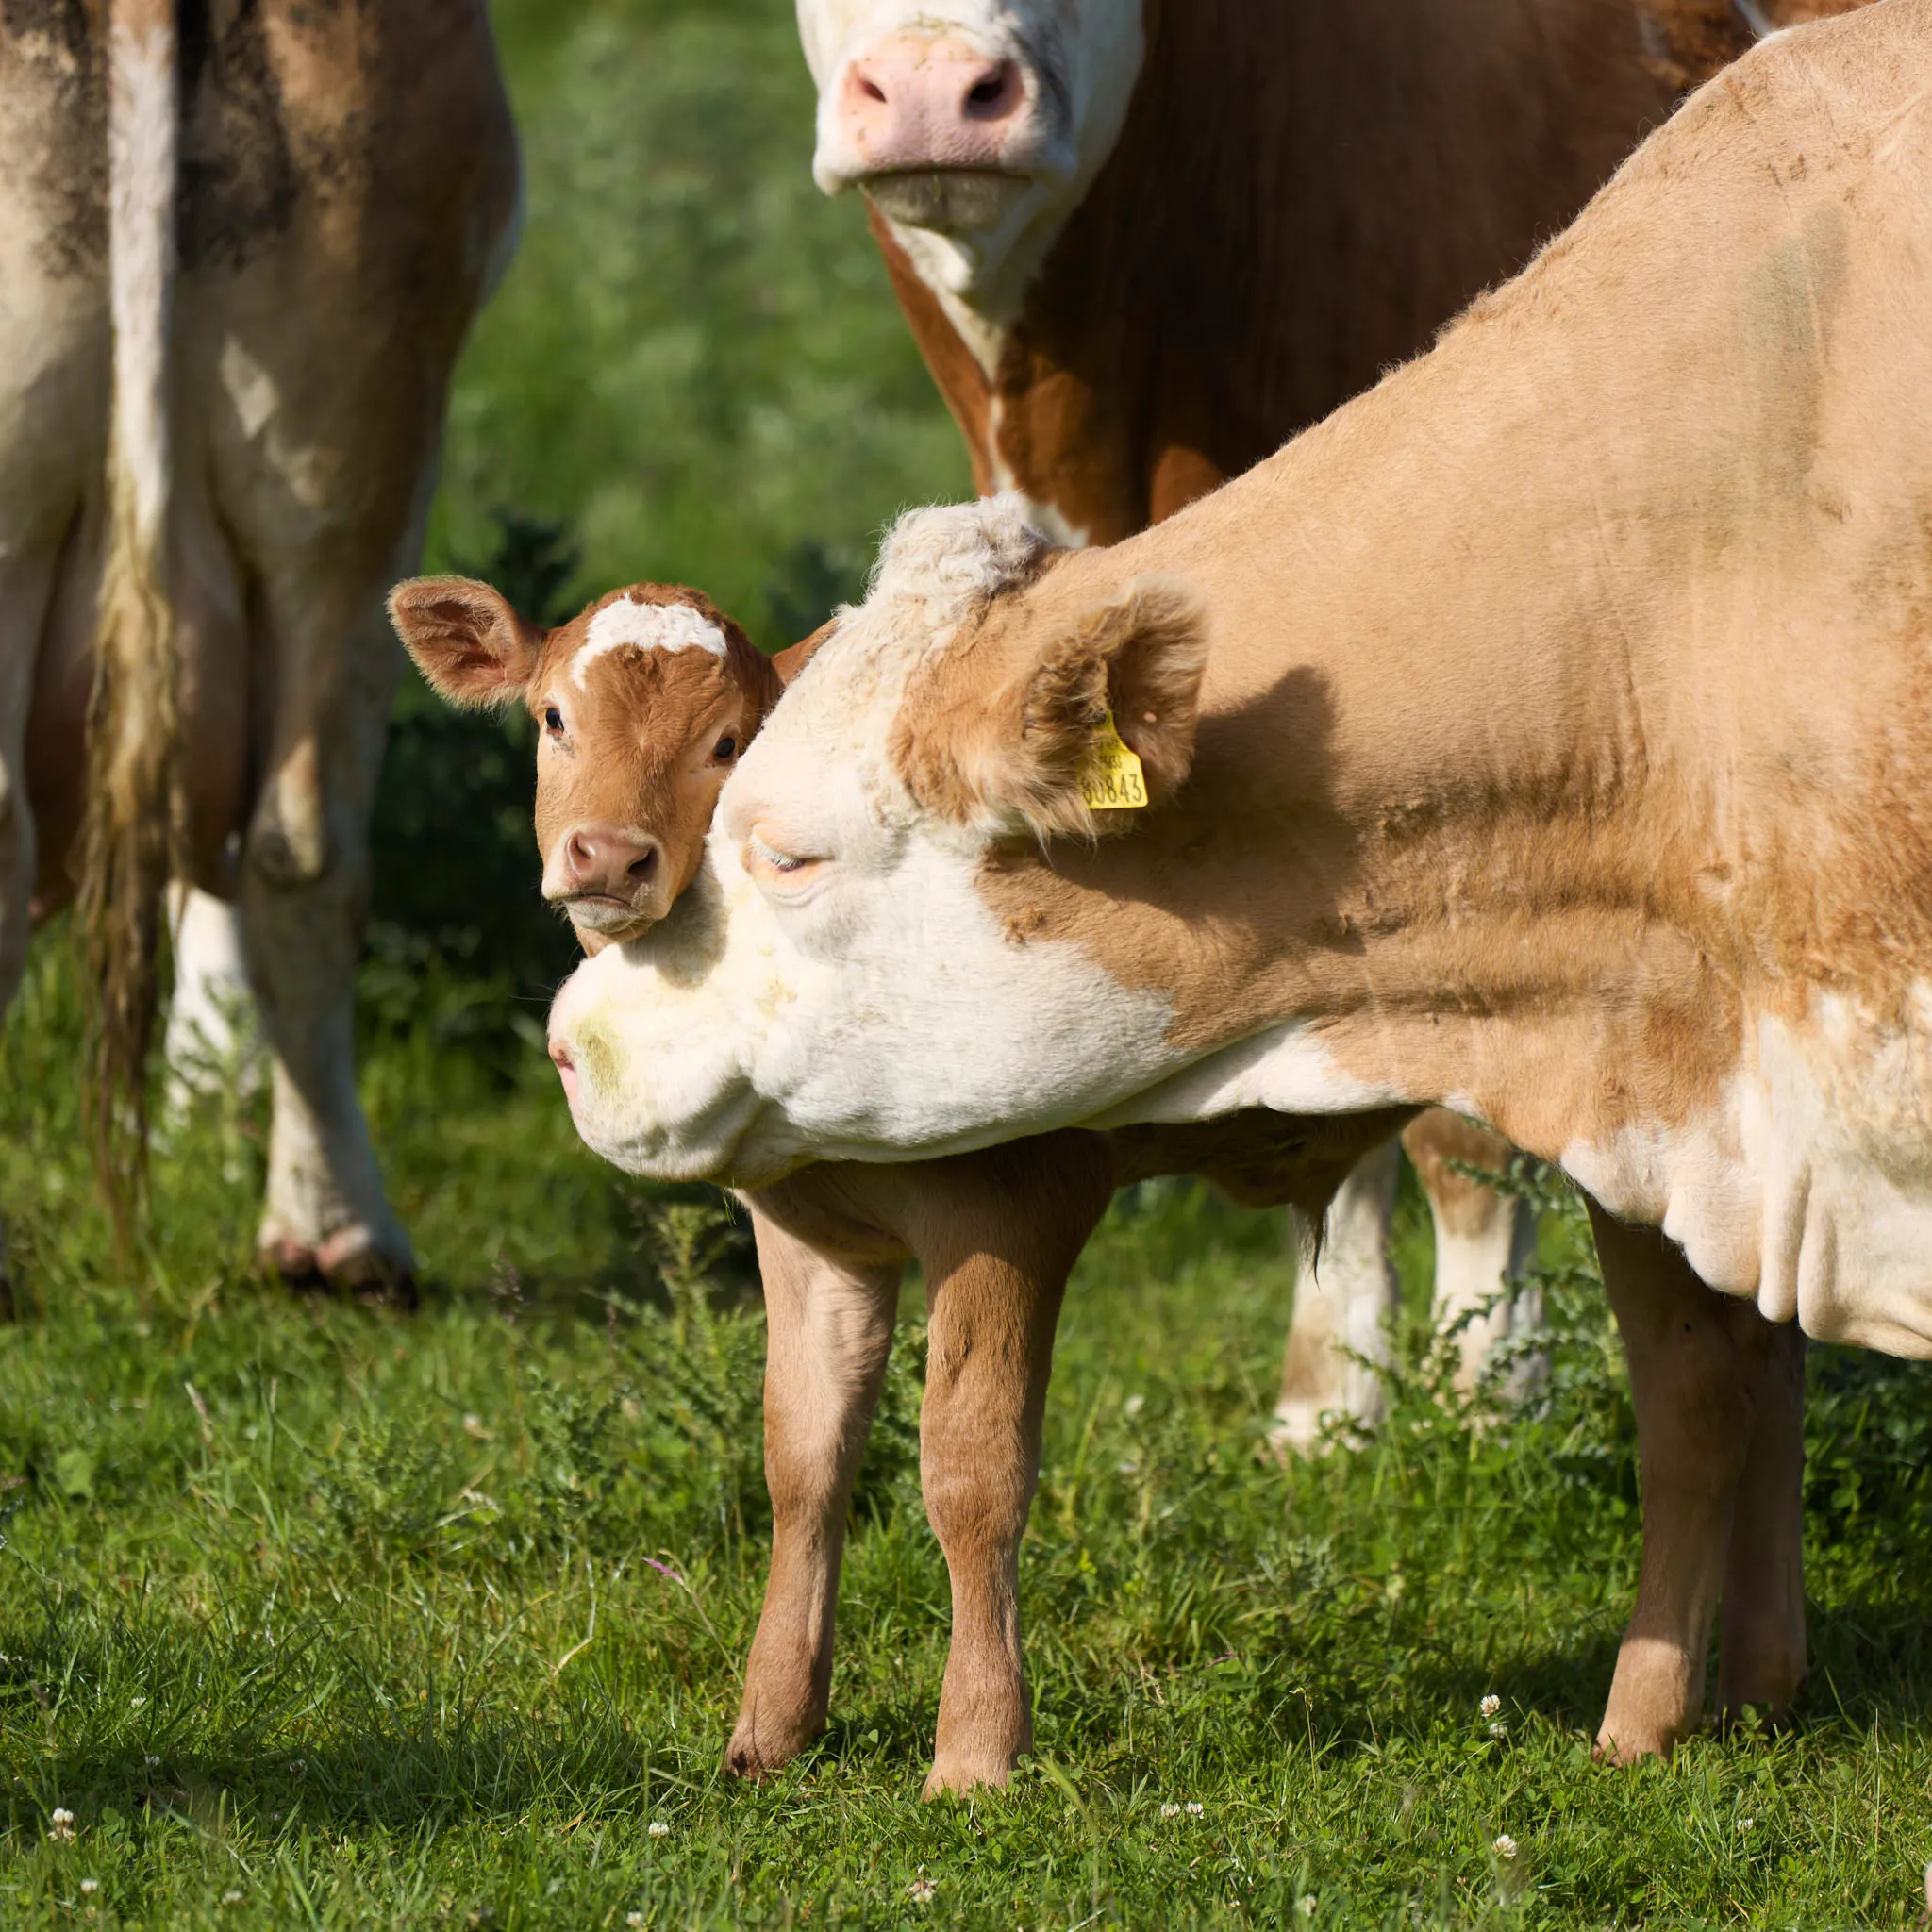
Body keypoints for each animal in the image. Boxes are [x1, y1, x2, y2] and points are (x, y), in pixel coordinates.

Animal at [395, 573, 1800, 1789]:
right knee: (1767, 1367)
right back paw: (1758, 1681)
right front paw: (772, 1726)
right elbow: (802, 1457)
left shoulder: (1012, 1203)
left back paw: (1643, 1716)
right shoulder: (804, 1229)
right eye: (553, 717)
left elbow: (969, 1470)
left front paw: (975, 1750)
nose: (608, 855)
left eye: (733, 744)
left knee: (1694, 1403)